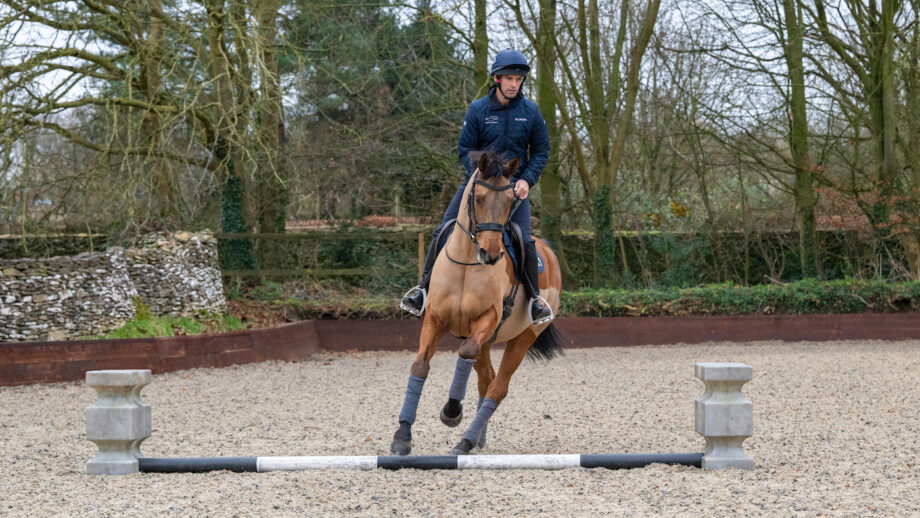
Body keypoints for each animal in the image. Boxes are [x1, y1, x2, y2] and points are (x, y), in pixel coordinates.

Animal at [390, 151, 564, 460]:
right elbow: (420, 366)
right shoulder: (434, 319)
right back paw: (477, 438)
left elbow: (466, 353)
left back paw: (466, 440)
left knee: (498, 386)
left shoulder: (488, 318)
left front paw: (451, 411)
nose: (490, 254)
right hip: (486, 340)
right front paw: (402, 435)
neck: (467, 263)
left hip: (523, 337)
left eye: (509, 201)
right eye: (479, 198)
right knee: (487, 378)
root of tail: (548, 250)